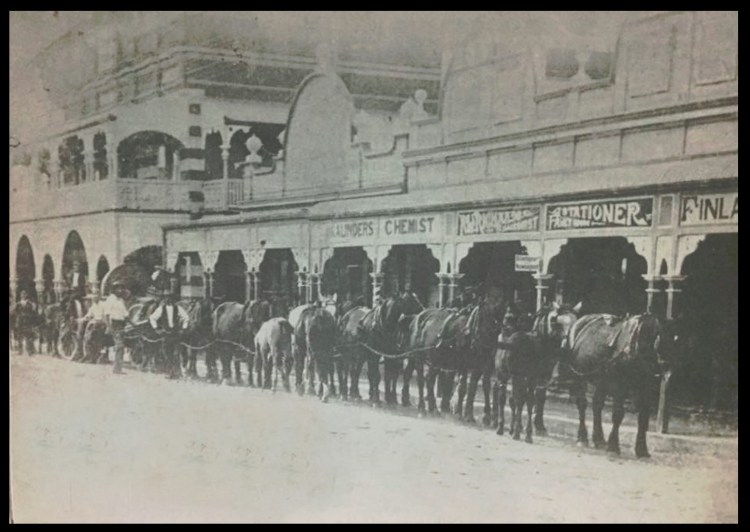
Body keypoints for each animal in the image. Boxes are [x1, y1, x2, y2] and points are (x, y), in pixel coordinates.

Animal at [563, 313, 679, 458]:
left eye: (674, 339)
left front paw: (642, 449)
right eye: (657, 337)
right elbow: (618, 414)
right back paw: (582, 438)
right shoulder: (619, 386)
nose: (667, 365)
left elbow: (643, 417)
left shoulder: (646, 388)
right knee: (582, 404)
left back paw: (599, 440)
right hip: (578, 376)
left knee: (597, 405)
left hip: (603, 380)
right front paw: (613, 445)